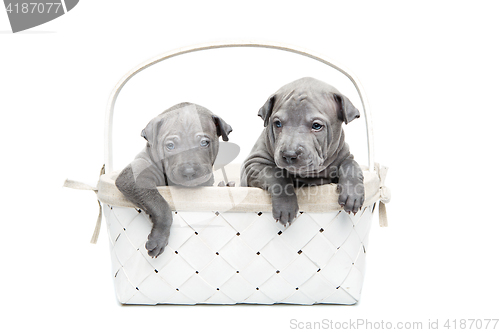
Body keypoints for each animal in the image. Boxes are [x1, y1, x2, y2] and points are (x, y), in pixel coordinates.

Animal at [116, 102, 233, 256]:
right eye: (170, 146)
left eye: (204, 142)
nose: (189, 172)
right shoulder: (133, 177)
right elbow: (160, 205)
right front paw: (159, 238)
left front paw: (224, 187)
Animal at [241, 76, 364, 224]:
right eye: (277, 123)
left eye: (316, 126)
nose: (289, 155)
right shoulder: (254, 164)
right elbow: (277, 175)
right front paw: (285, 207)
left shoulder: (344, 155)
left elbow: (351, 165)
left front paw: (353, 194)